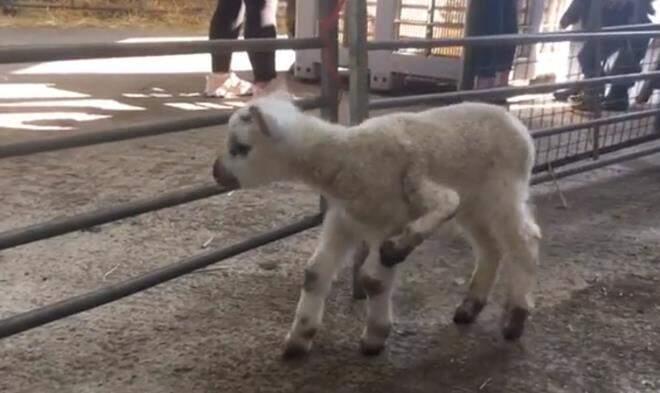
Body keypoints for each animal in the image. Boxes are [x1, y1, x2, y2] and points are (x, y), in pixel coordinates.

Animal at [211, 92, 540, 358]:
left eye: (240, 147)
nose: (216, 173)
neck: (347, 158)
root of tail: (518, 124)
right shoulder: (344, 220)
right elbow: (314, 274)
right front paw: (298, 340)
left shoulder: (393, 218)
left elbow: (374, 279)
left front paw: (374, 337)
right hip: (476, 204)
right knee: (490, 247)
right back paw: (469, 308)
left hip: (504, 190)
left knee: (524, 241)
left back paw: (515, 318)